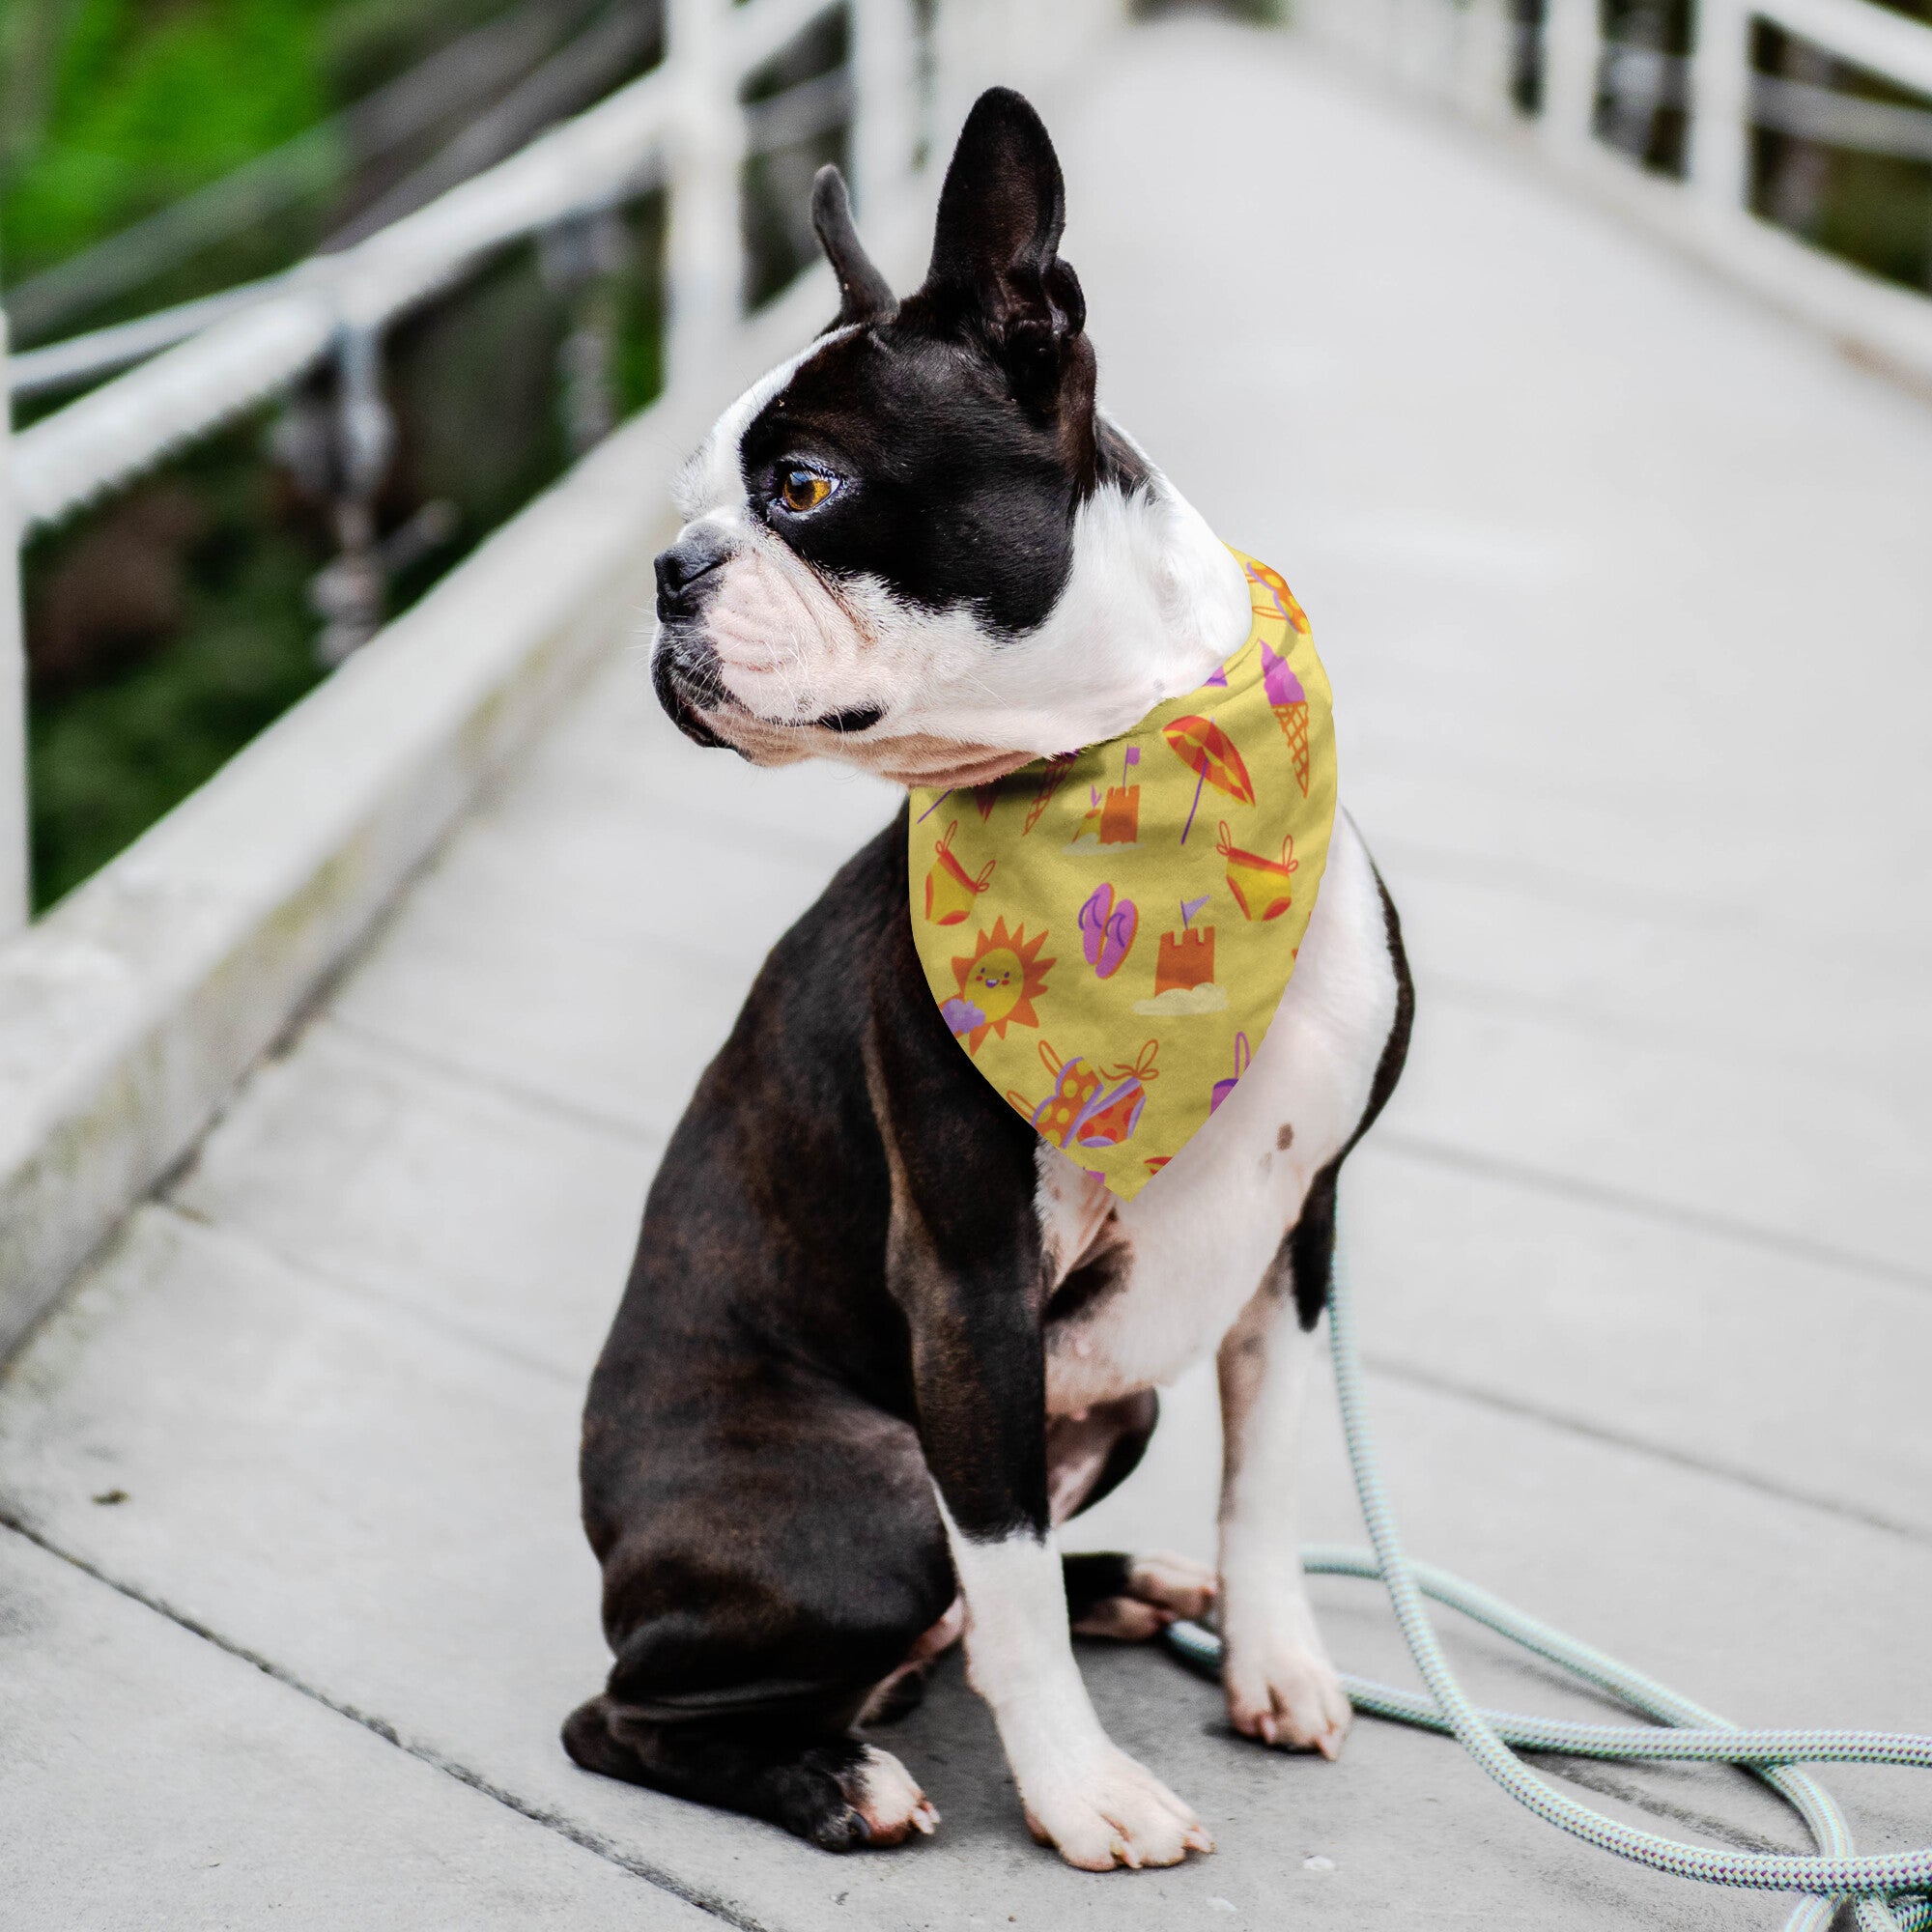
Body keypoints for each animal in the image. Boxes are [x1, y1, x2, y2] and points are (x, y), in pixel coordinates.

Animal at [564, 87, 1414, 1870]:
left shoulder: (1298, 1240)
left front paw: (1275, 1658)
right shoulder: (968, 1282)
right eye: (697, 499)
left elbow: (1267, 1479)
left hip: (1113, 1408)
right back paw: (837, 1777)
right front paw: (1083, 1792)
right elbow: (1005, 1573)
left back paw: (1135, 1587)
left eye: (802, 487)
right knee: (641, 1709)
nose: (670, 570)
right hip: (875, 1496)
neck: (1131, 785)